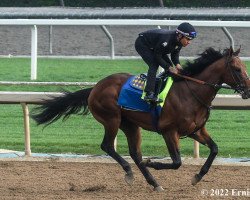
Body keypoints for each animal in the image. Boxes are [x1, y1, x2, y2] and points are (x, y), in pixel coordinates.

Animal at [32, 46, 249, 191]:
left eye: (244, 67)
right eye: (237, 69)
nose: (247, 90)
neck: (190, 92)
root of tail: (95, 88)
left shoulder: (196, 130)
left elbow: (214, 149)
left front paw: (197, 176)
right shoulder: (169, 131)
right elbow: (177, 162)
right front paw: (152, 162)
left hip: (130, 125)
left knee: (135, 153)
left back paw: (154, 182)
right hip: (112, 119)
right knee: (108, 146)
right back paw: (130, 172)